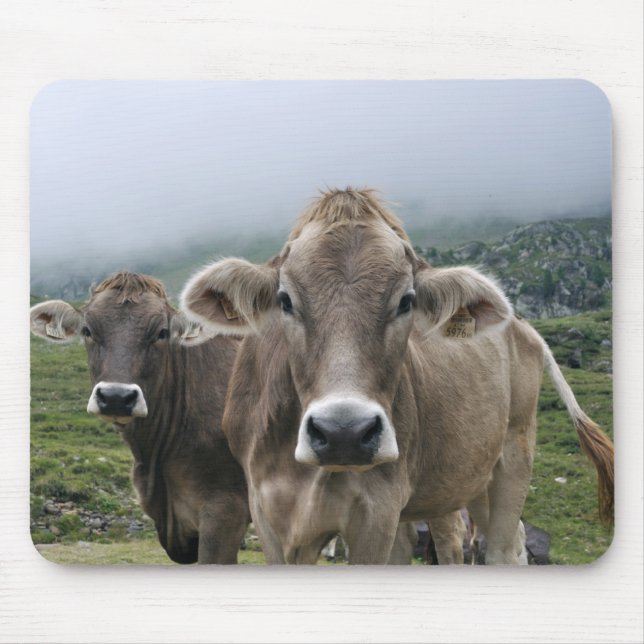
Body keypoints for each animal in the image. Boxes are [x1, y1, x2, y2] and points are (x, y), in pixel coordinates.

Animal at [180, 188, 614, 565]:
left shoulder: (377, 511)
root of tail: (522, 326)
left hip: (514, 453)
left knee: (497, 548)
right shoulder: (268, 513)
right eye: (285, 300)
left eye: (406, 301)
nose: (343, 432)